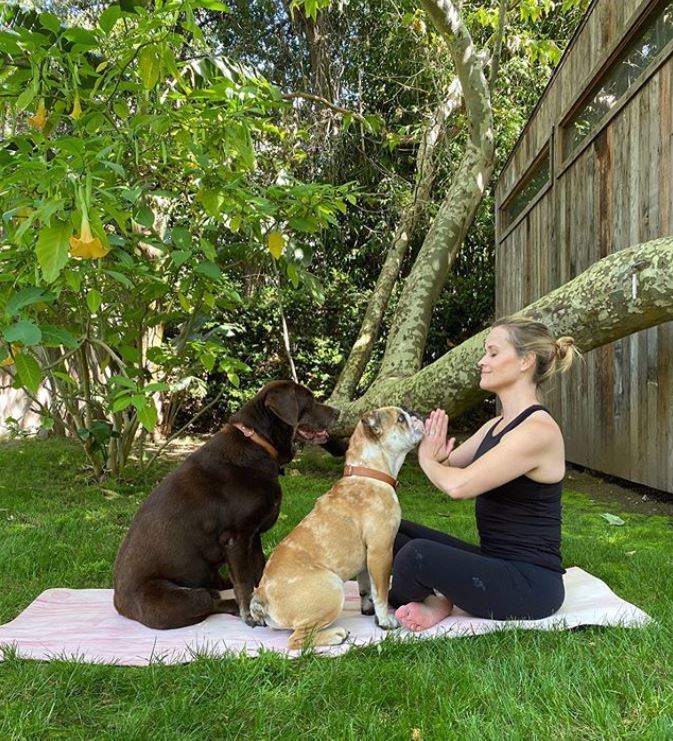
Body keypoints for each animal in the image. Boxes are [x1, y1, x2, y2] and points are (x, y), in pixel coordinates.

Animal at [113, 382, 342, 632]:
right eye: (308, 400)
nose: (338, 412)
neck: (258, 443)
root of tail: (119, 605)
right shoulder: (236, 538)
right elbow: (244, 581)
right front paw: (250, 615)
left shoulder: (253, 535)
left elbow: (260, 572)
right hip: (184, 598)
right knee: (210, 602)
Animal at [249, 404, 422, 648]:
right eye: (400, 419)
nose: (414, 413)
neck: (369, 472)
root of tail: (262, 595)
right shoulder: (381, 551)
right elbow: (381, 591)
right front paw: (385, 621)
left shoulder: (367, 557)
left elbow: (366, 587)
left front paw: (368, 610)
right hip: (332, 585)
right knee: (297, 640)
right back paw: (337, 635)